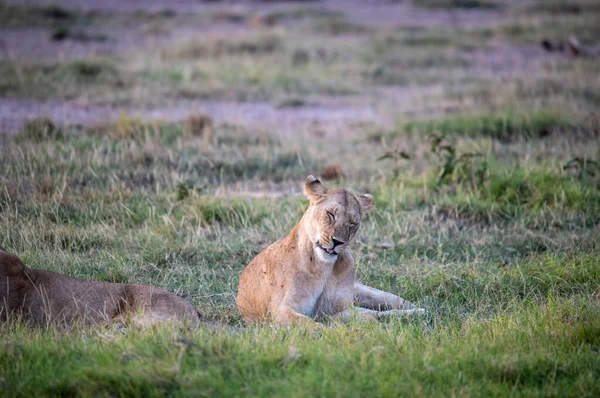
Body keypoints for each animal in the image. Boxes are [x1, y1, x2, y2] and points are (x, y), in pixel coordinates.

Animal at [237, 175, 424, 326]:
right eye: (330, 215)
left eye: (352, 223)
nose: (337, 242)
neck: (323, 267)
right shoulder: (281, 310)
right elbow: (307, 323)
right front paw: (321, 332)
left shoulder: (339, 309)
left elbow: (371, 314)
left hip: (364, 291)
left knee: (392, 301)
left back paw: (419, 310)